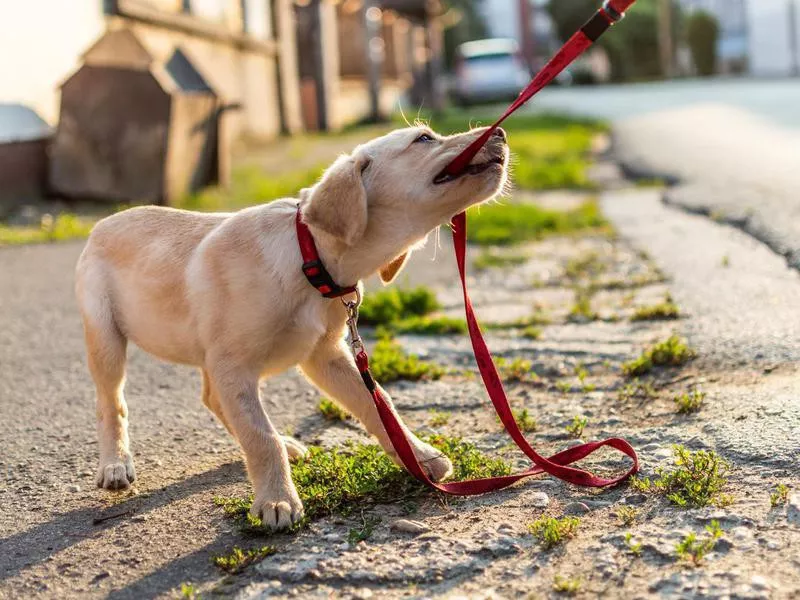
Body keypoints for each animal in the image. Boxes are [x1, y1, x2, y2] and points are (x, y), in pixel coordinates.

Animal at [78, 124, 510, 528]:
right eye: (423, 139)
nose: (502, 132)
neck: (310, 258)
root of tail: (102, 223)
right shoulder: (234, 364)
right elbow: (259, 435)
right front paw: (276, 500)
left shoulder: (325, 355)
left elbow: (378, 404)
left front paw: (418, 457)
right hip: (106, 338)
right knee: (110, 402)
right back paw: (115, 464)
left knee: (213, 399)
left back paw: (286, 445)